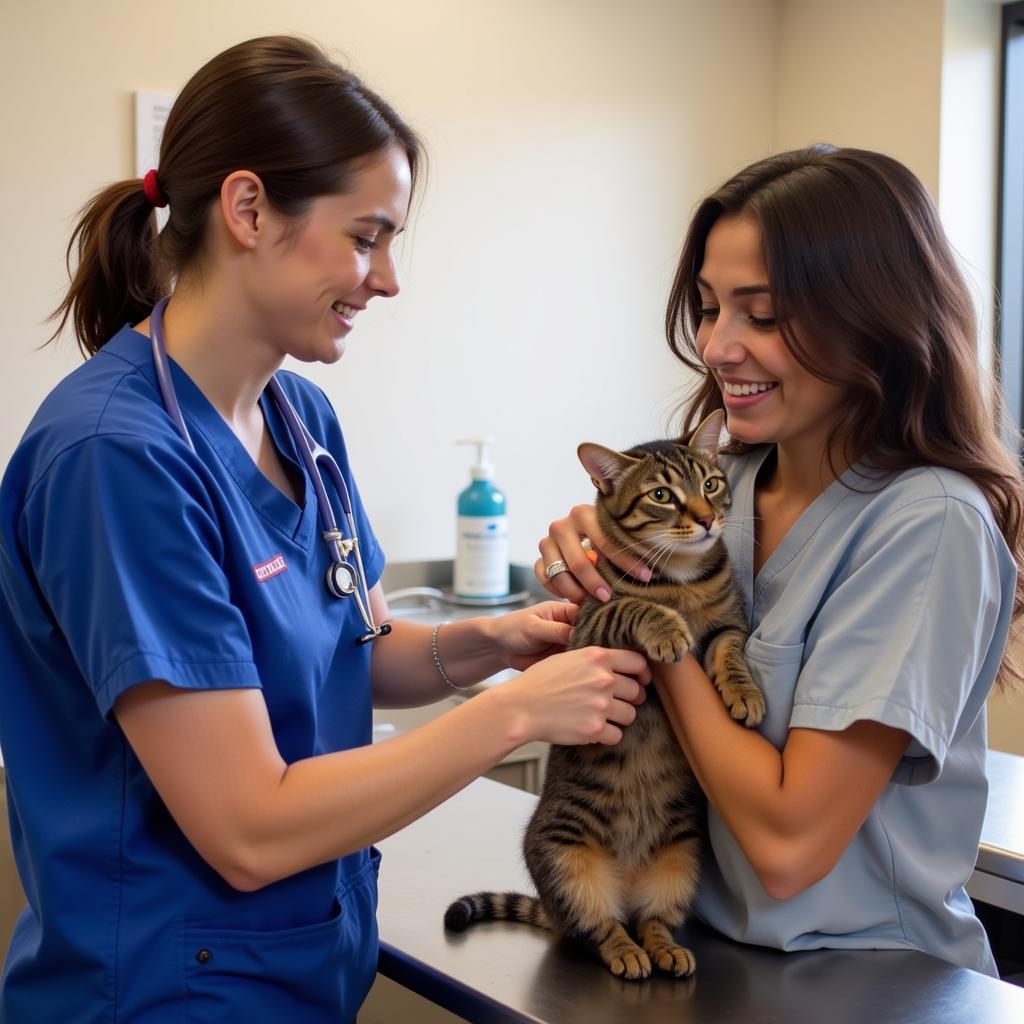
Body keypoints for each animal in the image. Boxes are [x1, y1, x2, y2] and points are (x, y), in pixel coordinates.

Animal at [444, 411, 765, 978]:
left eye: (710, 484)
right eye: (662, 495)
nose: (707, 520)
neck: (683, 580)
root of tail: (628, 882)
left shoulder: (730, 623)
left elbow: (729, 652)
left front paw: (744, 694)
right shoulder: (588, 627)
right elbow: (632, 607)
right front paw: (666, 627)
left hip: (681, 859)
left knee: (653, 920)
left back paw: (664, 948)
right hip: (565, 860)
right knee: (599, 927)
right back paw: (626, 953)